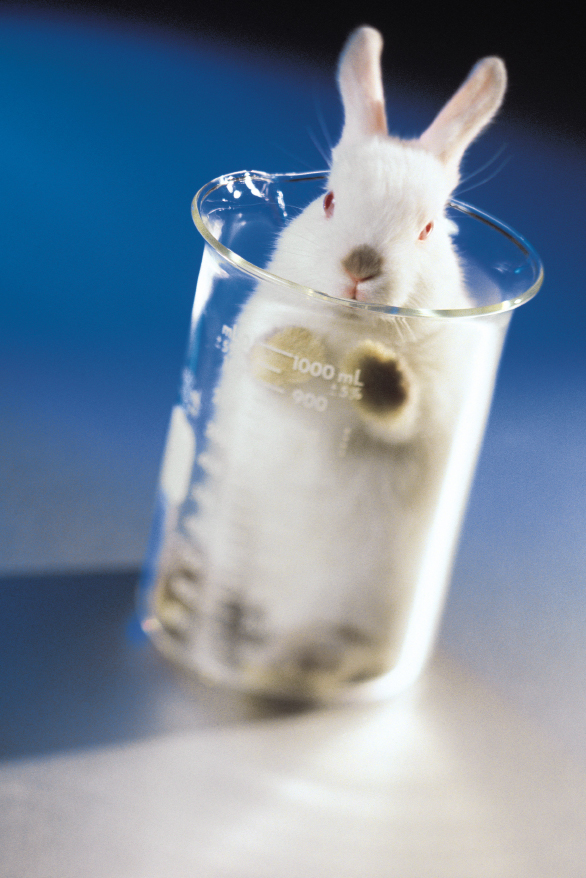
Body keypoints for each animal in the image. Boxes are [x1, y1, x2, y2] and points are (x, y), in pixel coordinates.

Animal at [152, 26, 508, 701]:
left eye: (429, 229)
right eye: (329, 199)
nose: (361, 265)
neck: (353, 330)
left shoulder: (438, 402)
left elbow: (404, 411)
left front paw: (379, 375)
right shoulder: (256, 355)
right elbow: (270, 365)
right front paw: (296, 350)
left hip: (358, 622)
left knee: (341, 659)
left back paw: (274, 668)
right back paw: (180, 597)